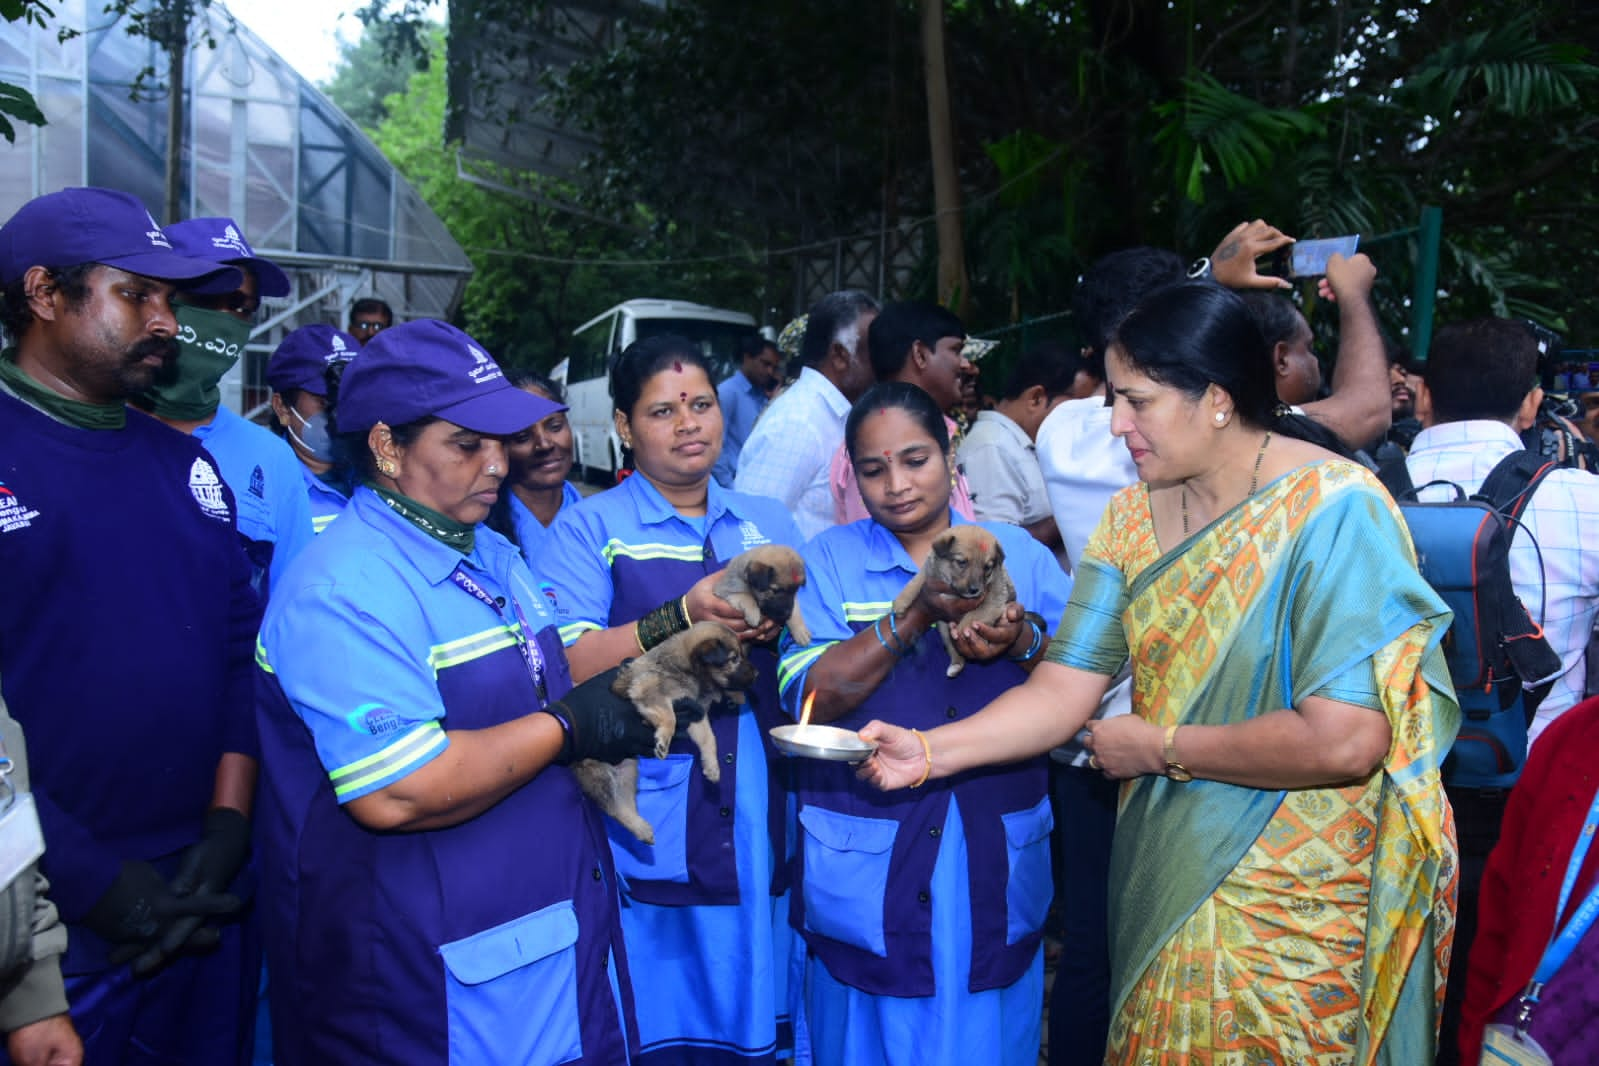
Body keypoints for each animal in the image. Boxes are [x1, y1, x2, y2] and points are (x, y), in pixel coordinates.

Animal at [572, 620, 757, 843]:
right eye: (734, 659)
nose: (757, 674)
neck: (687, 668)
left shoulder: (693, 714)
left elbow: (708, 739)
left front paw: (711, 766)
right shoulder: (651, 692)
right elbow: (670, 718)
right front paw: (664, 738)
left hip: (627, 771)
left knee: (625, 801)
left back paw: (642, 829)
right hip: (599, 774)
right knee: (613, 807)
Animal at [895, 524, 1016, 674]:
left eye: (987, 567)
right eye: (961, 562)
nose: (975, 590)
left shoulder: (993, 601)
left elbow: (968, 620)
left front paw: (962, 636)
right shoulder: (929, 571)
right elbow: (916, 580)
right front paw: (900, 602)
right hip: (943, 629)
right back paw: (956, 664)